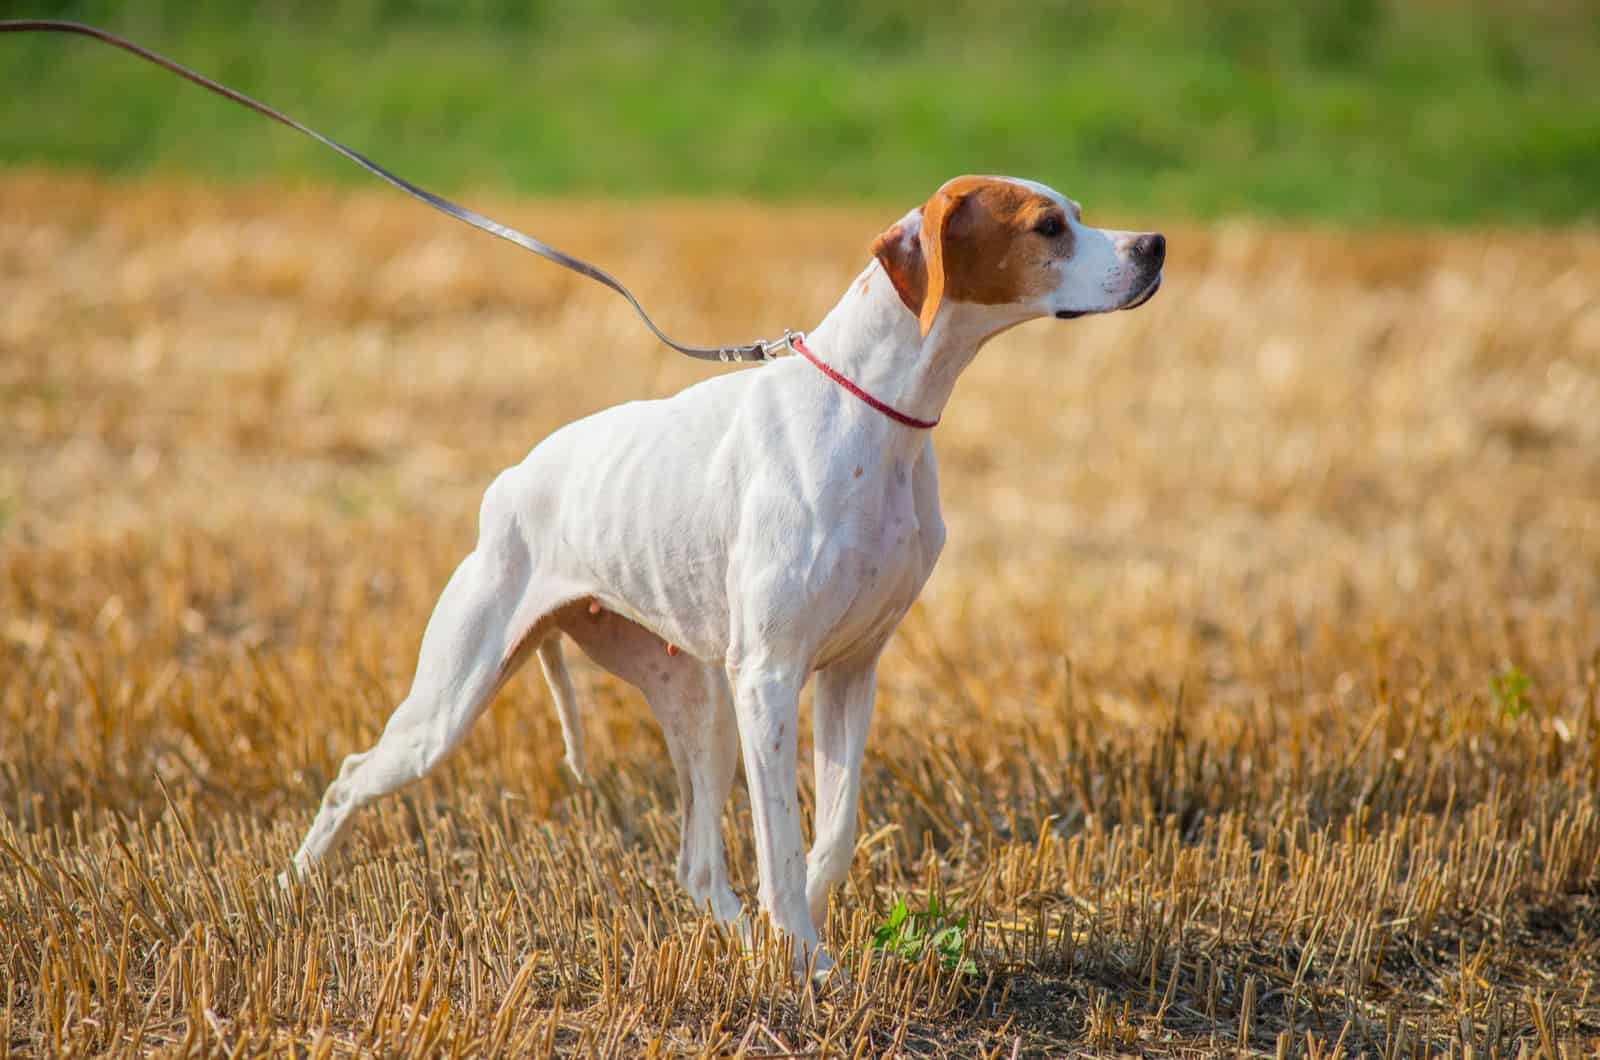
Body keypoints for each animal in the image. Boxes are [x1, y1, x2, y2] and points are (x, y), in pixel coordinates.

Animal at [291, 174, 1164, 979]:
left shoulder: (852, 670)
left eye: (1079, 214)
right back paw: (291, 891)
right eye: (1048, 226)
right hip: (451, 705)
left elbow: (834, 832)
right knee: (348, 777)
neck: (873, 415)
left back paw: (742, 944)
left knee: (697, 864)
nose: (1154, 244)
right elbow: (780, 838)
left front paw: (804, 939)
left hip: (697, 701)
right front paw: (806, 959)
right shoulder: (770, 677)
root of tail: (509, 481)